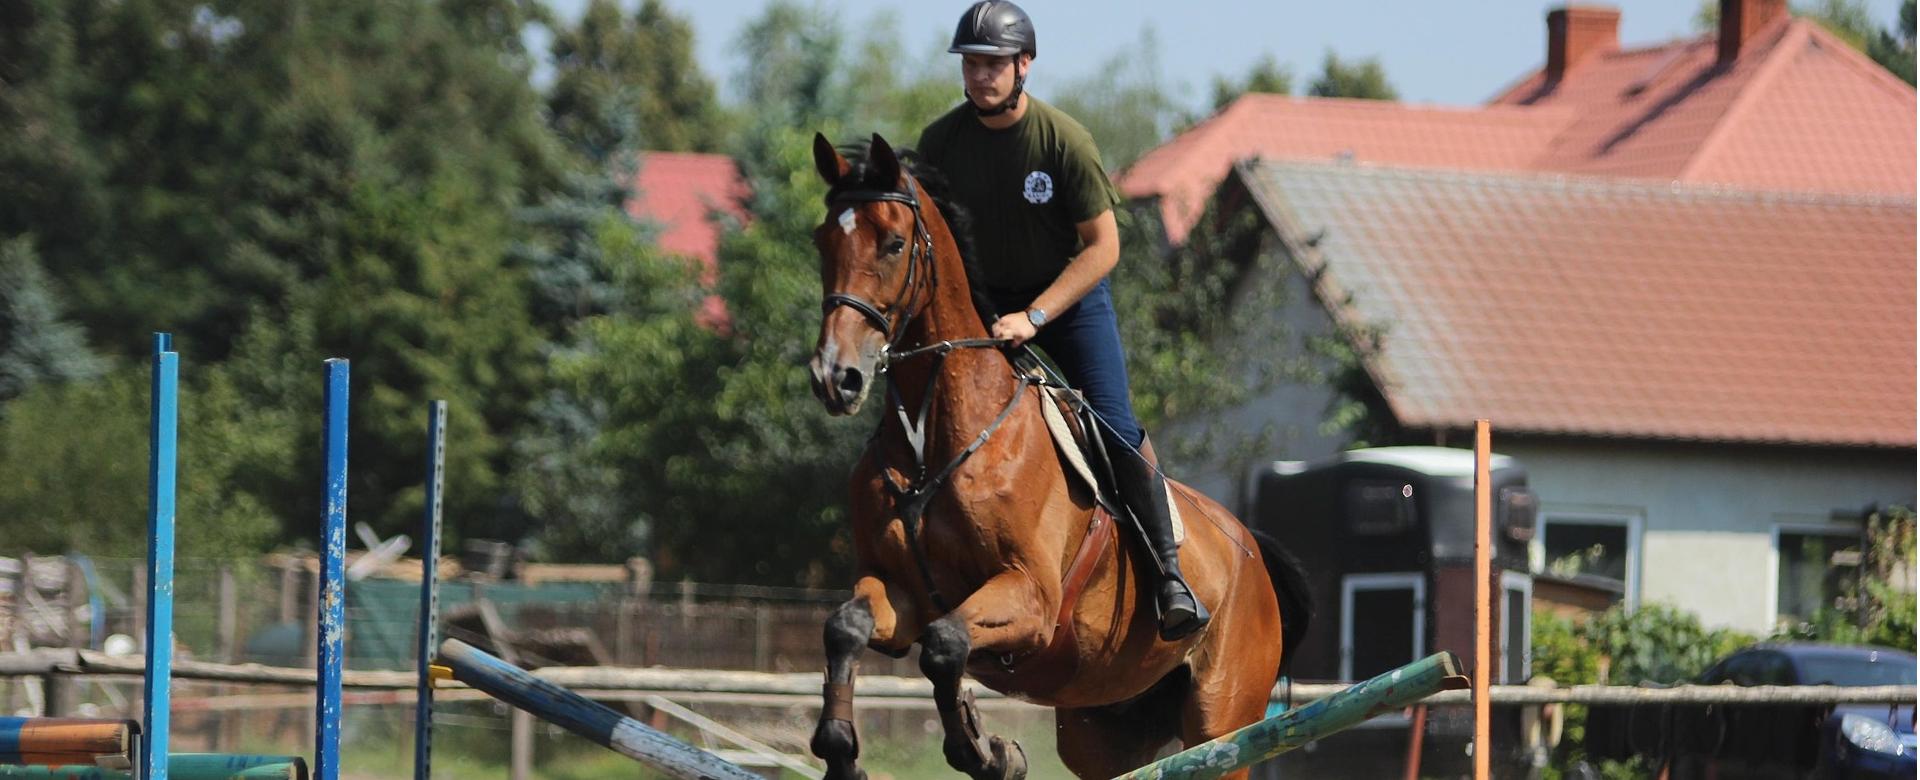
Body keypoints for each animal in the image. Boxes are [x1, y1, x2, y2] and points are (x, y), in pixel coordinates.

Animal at [804, 132, 1310, 780]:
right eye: (823, 241)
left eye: (893, 244)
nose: (834, 377)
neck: (930, 439)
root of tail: (1253, 552)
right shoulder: (899, 591)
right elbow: (847, 628)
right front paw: (841, 750)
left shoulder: (1031, 598)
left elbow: (944, 646)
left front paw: (987, 752)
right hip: (1103, 729)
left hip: (1224, 726)